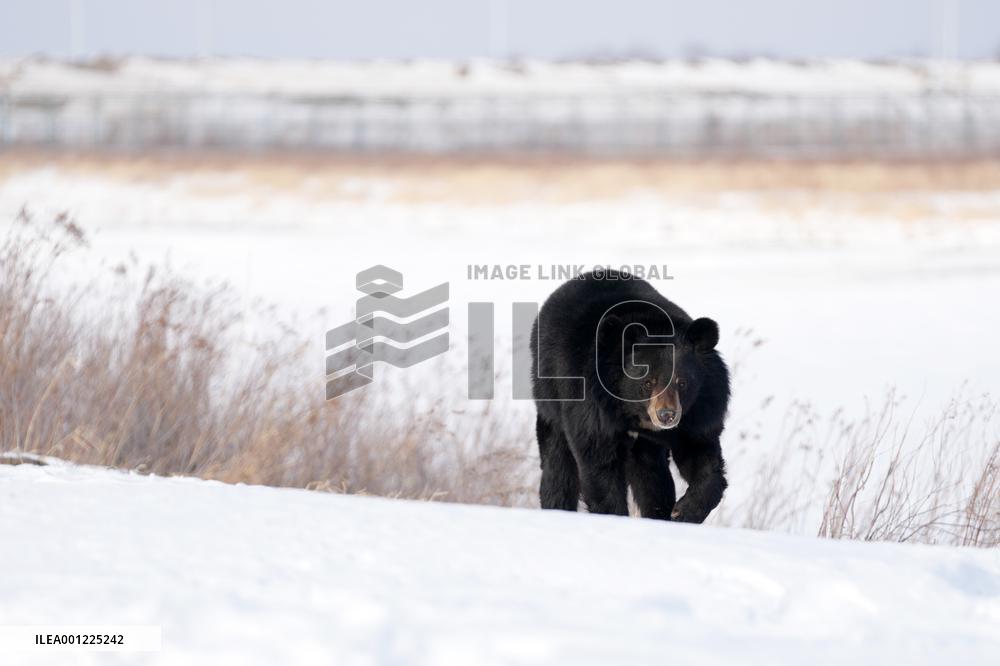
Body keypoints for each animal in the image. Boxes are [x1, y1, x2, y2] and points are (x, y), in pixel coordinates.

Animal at [530, 270, 729, 523]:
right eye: (647, 382)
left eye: (682, 383)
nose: (667, 415)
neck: (633, 412)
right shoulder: (591, 406)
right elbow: (599, 462)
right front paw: (613, 515)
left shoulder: (701, 411)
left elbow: (700, 452)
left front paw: (683, 512)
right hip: (550, 399)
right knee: (557, 467)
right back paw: (557, 507)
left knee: (652, 474)